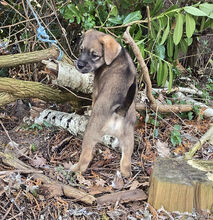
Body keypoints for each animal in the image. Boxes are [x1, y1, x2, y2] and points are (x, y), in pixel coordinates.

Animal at [73, 29, 136, 177]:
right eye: (81, 50)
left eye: (94, 55)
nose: (79, 65)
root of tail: (119, 112)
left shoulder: (96, 92)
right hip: (128, 139)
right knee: (126, 163)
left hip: (90, 132)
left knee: (86, 157)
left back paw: (75, 169)